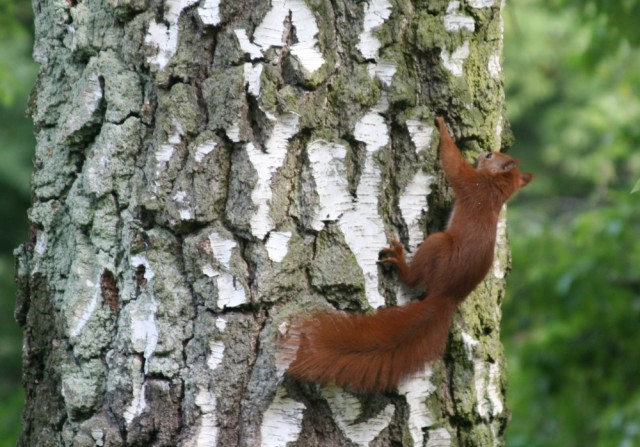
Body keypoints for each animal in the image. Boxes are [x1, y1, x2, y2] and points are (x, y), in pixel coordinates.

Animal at [282, 118, 532, 392]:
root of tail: (447, 296)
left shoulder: (471, 183)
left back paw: (400, 261)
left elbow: (452, 164)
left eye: (489, 156)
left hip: (437, 245)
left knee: (414, 279)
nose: (481, 152)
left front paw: (442, 127)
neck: (496, 189)